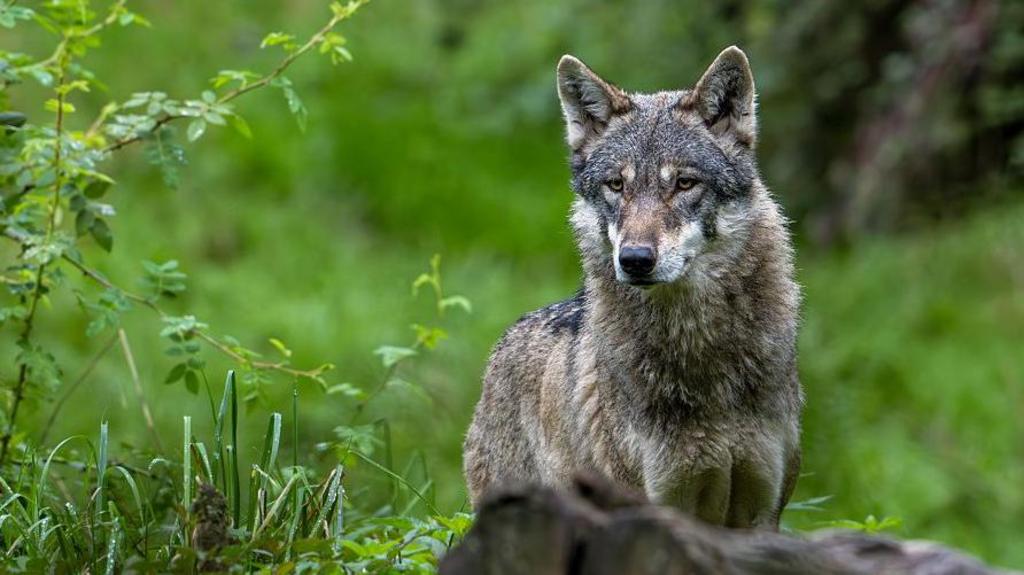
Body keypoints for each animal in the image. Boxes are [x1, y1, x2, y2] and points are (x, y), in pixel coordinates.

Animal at [463, 46, 802, 529]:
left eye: (684, 183)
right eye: (616, 185)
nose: (635, 259)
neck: (700, 354)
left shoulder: (761, 512)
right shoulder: (653, 506)